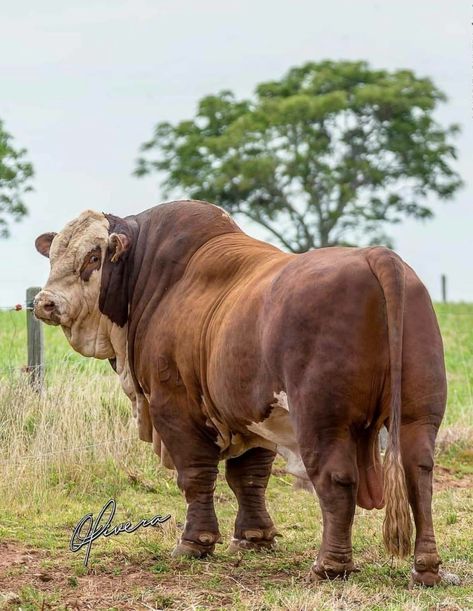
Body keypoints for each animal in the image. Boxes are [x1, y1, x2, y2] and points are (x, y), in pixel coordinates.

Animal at [34, 198, 446, 584]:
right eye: (53, 256)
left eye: (93, 256)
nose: (45, 302)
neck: (152, 279)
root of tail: (376, 255)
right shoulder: (252, 412)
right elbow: (249, 476)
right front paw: (254, 537)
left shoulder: (173, 405)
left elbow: (196, 474)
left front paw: (194, 542)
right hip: (418, 415)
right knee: (419, 474)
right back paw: (425, 568)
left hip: (323, 419)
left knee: (336, 478)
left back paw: (330, 565)